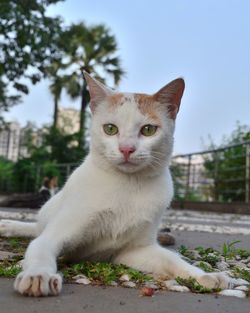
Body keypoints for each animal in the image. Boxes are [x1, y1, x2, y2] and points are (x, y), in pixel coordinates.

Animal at [0, 72, 230, 296]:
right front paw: (38, 275)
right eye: (110, 129)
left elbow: (172, 259)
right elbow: (40, 247)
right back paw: (9, 225)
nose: (126, 149)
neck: (128, 186)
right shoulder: (56, 234)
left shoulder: (133, 251)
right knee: (36, 230)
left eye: (148, 130)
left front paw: (205, 275)